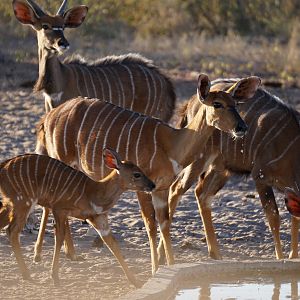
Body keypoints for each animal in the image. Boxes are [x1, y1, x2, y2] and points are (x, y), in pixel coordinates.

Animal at [0, 149, 155, 286]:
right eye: (137, 174)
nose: (152, 185)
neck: (94, 193)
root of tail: (4, 165)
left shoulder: (99, 219)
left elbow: (113, 244)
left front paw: (136, 282)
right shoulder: (59, 209)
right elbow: (59, 238)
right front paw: (55, 277)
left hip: (12, 204)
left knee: (7, 227)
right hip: (23, 202)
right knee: (12, 231)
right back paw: (27, 275)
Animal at [34, 73, 260, 274]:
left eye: (236, 104)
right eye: (217, 104)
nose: (242, 127)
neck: (171, 145)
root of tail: (48, 117)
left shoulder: (161, 188)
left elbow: (165, 223)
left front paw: (171, 265)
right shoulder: (142, 187)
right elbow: (150, 225)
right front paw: (154, 269)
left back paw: (69, 253)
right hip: (61, 159)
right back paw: (41, 254)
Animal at [166, 78, 300, 262]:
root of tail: (191, 101)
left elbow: (294, 220)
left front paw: (293, 256)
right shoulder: (260, 176)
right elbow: (274, 217)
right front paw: (281, 258)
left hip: (222, 168)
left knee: (202, 193)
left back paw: (215, 253)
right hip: (200, 158)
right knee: (176, 189)